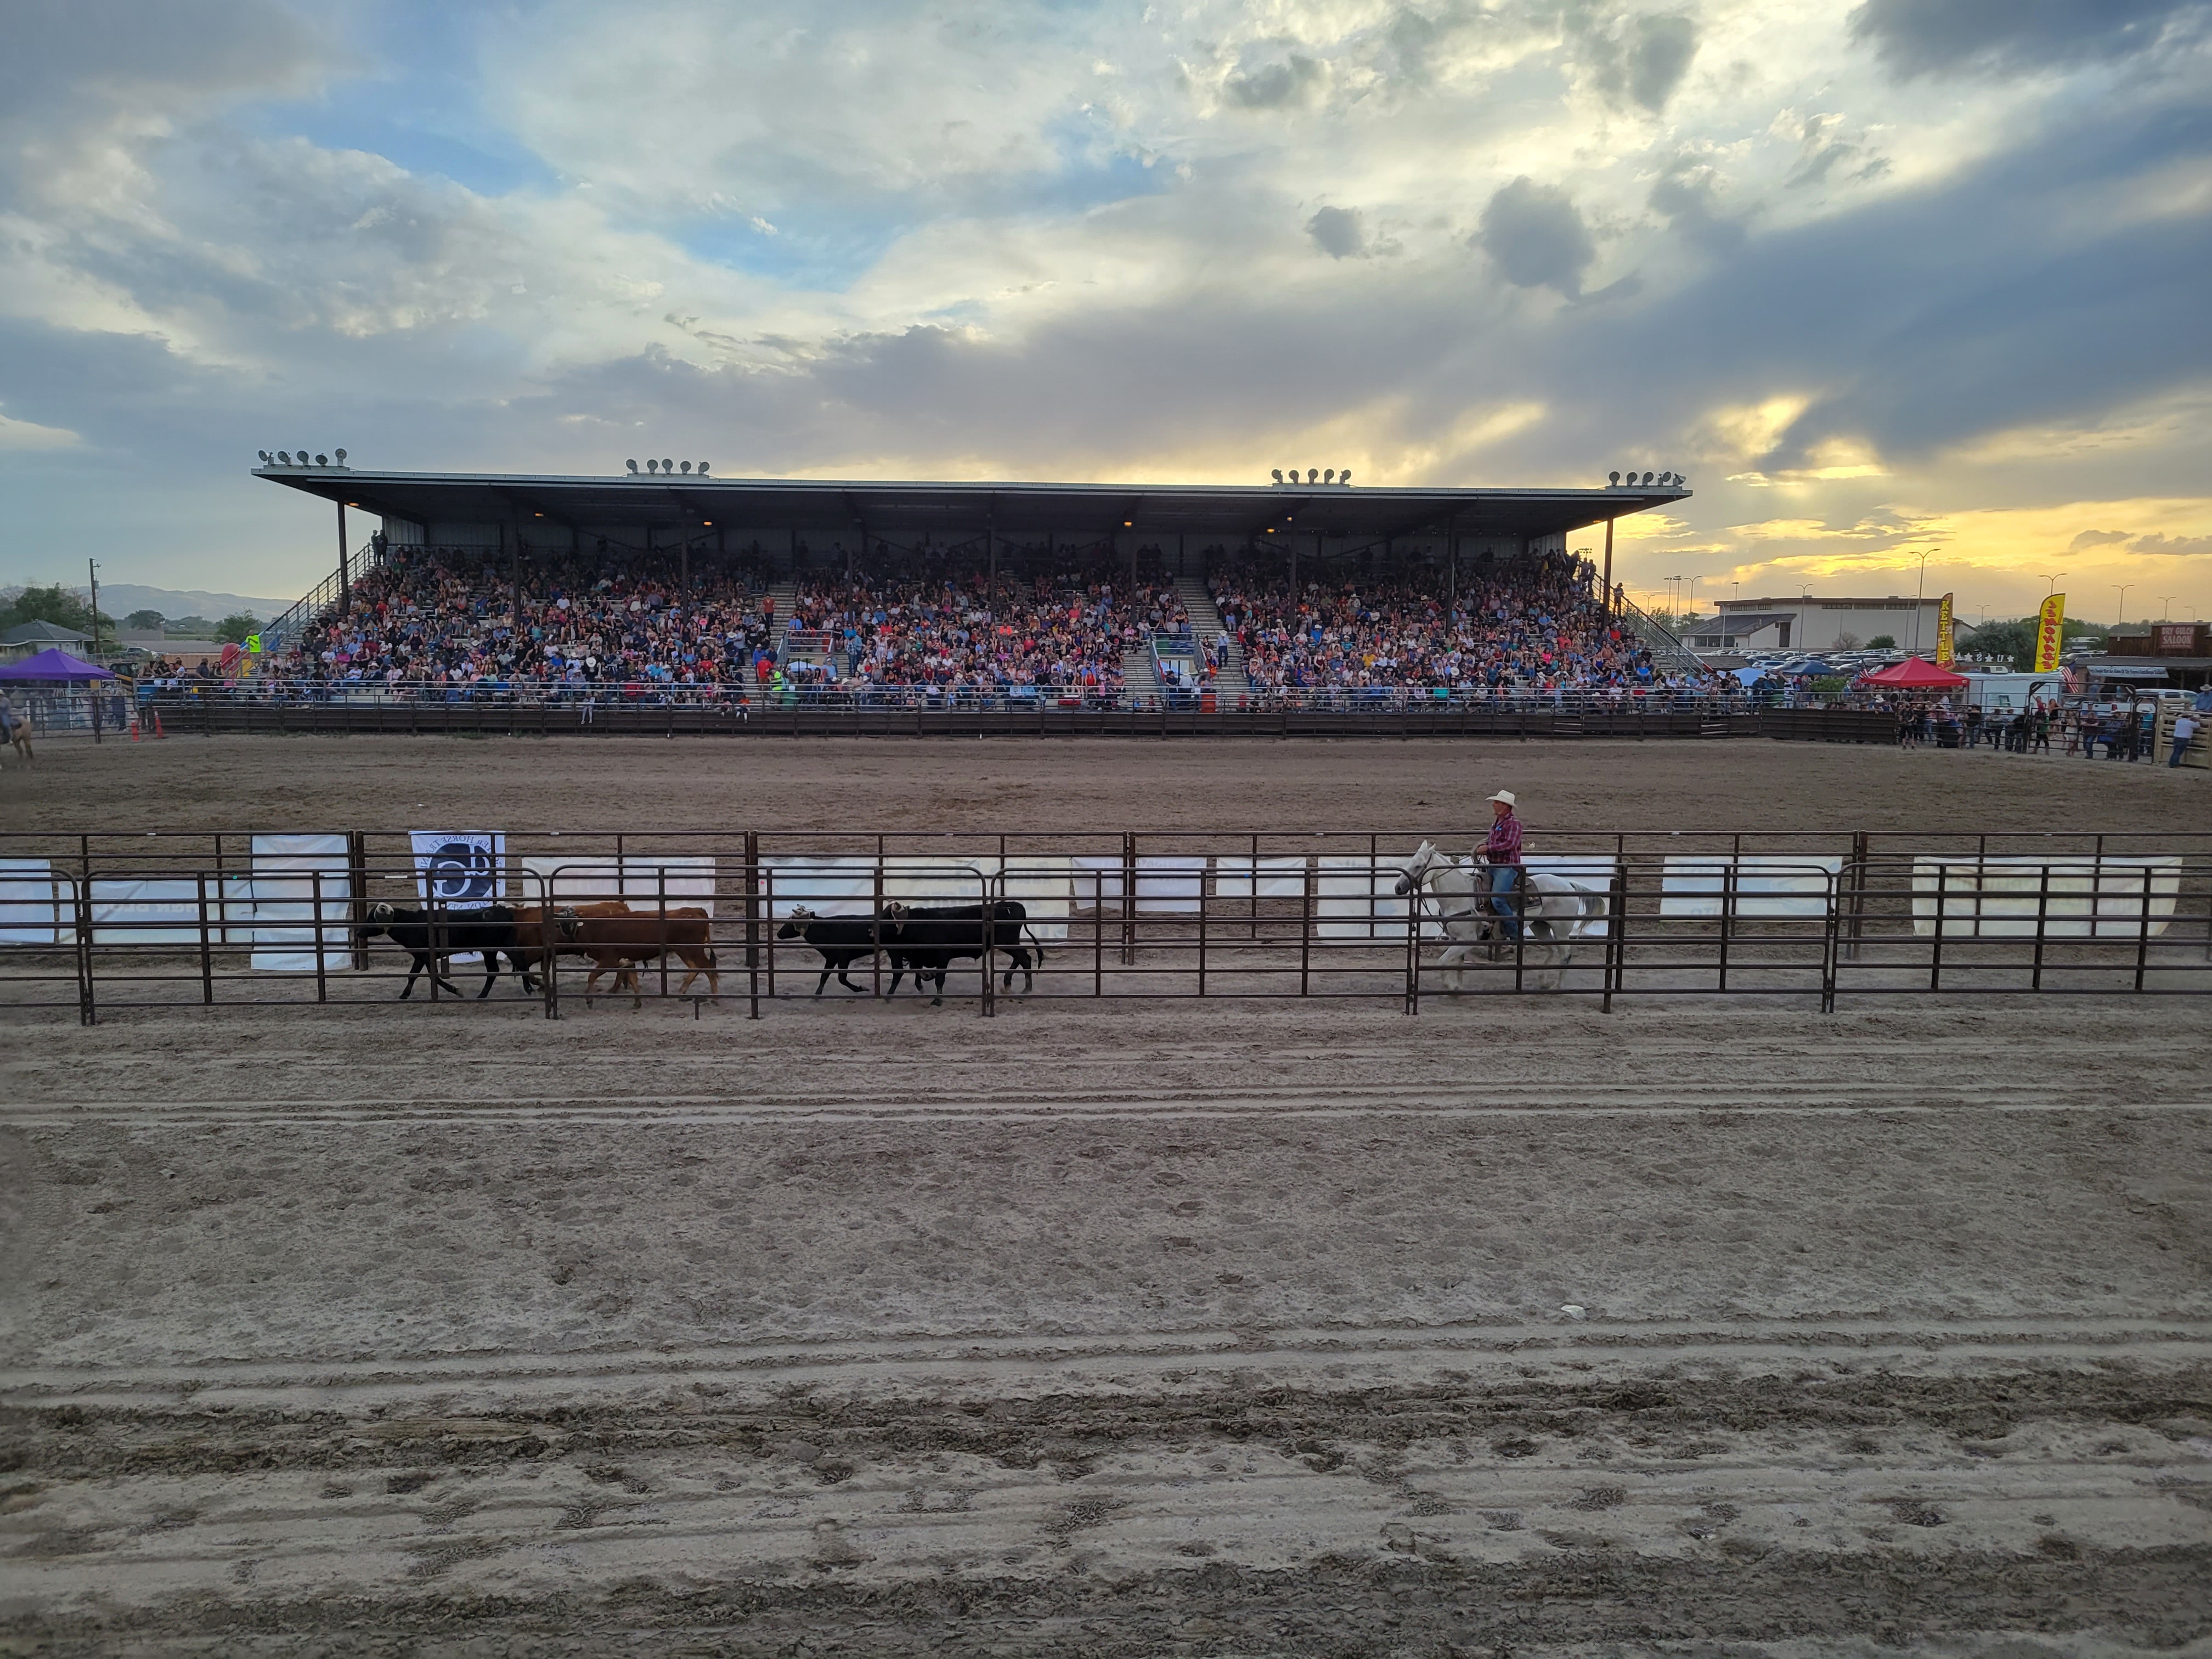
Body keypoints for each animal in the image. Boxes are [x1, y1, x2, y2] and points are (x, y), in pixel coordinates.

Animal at [1389, 836, 1619, 995]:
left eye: (1418, 865)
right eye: (1410, 862)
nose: (1398, 887)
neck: (1459, 896)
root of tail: (1568, 883)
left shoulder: (1468, 940)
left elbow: (1442, 961)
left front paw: (1451, 987)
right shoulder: (1455, 939)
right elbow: (1457, 965)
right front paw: (1458, 987)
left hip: (1561, 929)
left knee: (1565, 955)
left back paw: (1556, 986)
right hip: (1540, 925)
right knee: (1552, 951)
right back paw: (1543, 981)